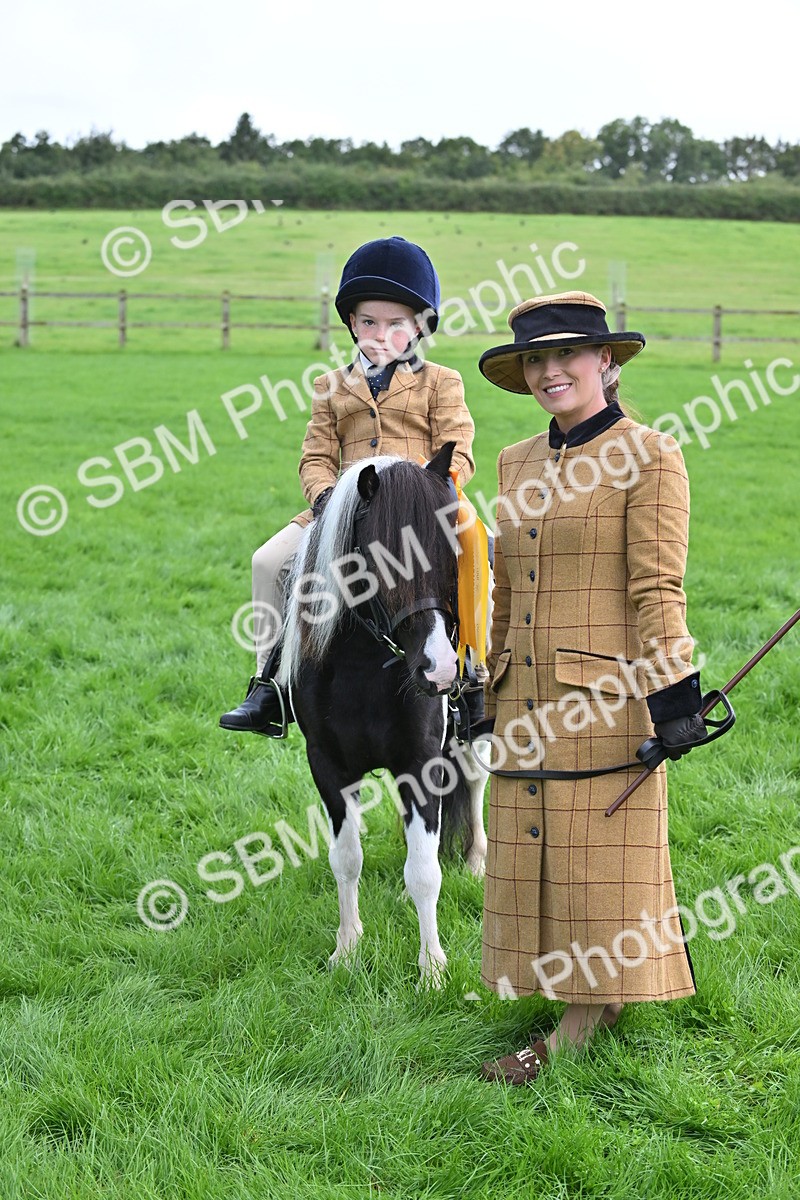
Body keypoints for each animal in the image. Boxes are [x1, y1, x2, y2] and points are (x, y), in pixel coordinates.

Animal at [276, 442, 488, 985]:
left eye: (453, 554)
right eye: (383, 557)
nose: (440, 669)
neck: (363, 665)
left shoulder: (422, 763)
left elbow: (425, 871)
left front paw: (432, 969)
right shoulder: (328, 765)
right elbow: (346, 859)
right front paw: (347, 949)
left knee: (476, 780)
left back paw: (476, 861)